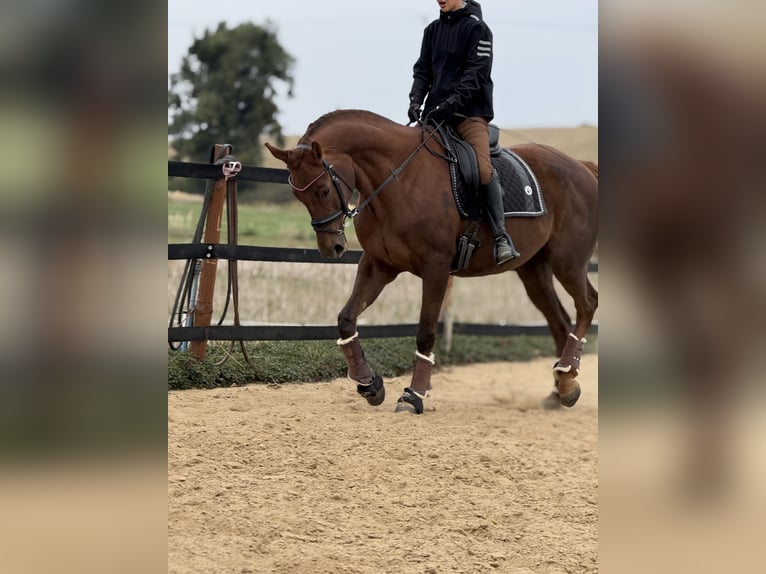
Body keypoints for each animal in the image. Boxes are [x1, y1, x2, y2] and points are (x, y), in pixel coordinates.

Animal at [266, 109, 598, 414]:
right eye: (298, 196)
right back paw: (563, 386)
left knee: (587, 304)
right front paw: (368, 382)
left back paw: (566, 377)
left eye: (323, 190)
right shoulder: (379, 265)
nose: (332, 248)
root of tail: (582, 167)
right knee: (560, 321)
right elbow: (346, 319)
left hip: (568, 263)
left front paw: (413, 394)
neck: (400, 179)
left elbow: (425, 332)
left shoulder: (435, 269)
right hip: (534, 271)